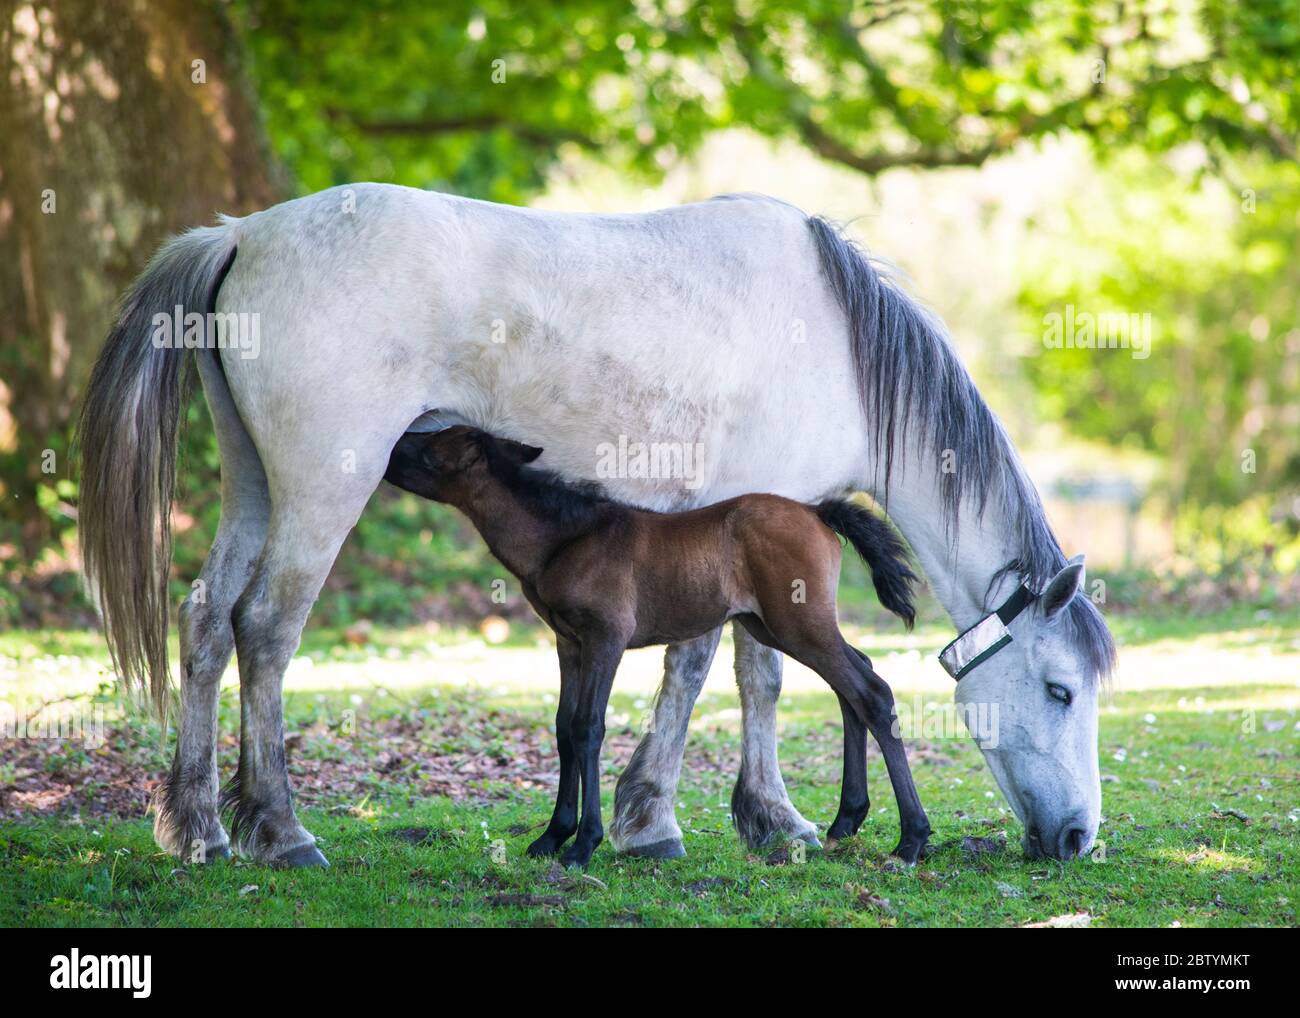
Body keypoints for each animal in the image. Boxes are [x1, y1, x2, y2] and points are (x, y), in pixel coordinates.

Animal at [379, 429, 930, 868]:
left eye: (429, 449)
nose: (387, 451)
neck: (567, 538)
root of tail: (817, 512)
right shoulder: (568, 642)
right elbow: (563, 728)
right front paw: (551, 838)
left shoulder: (606, 638)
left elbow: (588, 728)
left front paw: (583, 845)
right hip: (774, 626)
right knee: (854, 682)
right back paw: (846, 821)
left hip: (798, 623)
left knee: (872, 691)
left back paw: (911, 840)